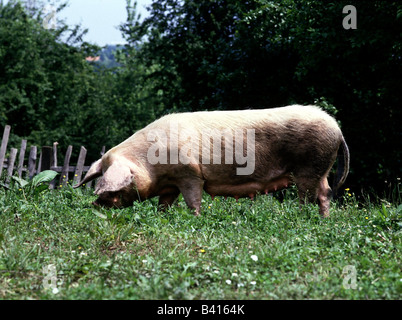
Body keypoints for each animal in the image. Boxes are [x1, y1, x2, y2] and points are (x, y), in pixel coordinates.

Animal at [74, 105, 350, 218]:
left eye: (111, 186)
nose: (95, 204)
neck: (152, 165)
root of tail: (337, 128)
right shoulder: (170, 185)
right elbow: (164, 204)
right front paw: (163, 217)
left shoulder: (190, 175)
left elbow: (193, 200)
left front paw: (195, 218)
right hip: (319, 170)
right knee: (325, 192)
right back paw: (324, 220)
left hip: (309, 168)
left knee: (313, 196)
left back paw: (306, 218)